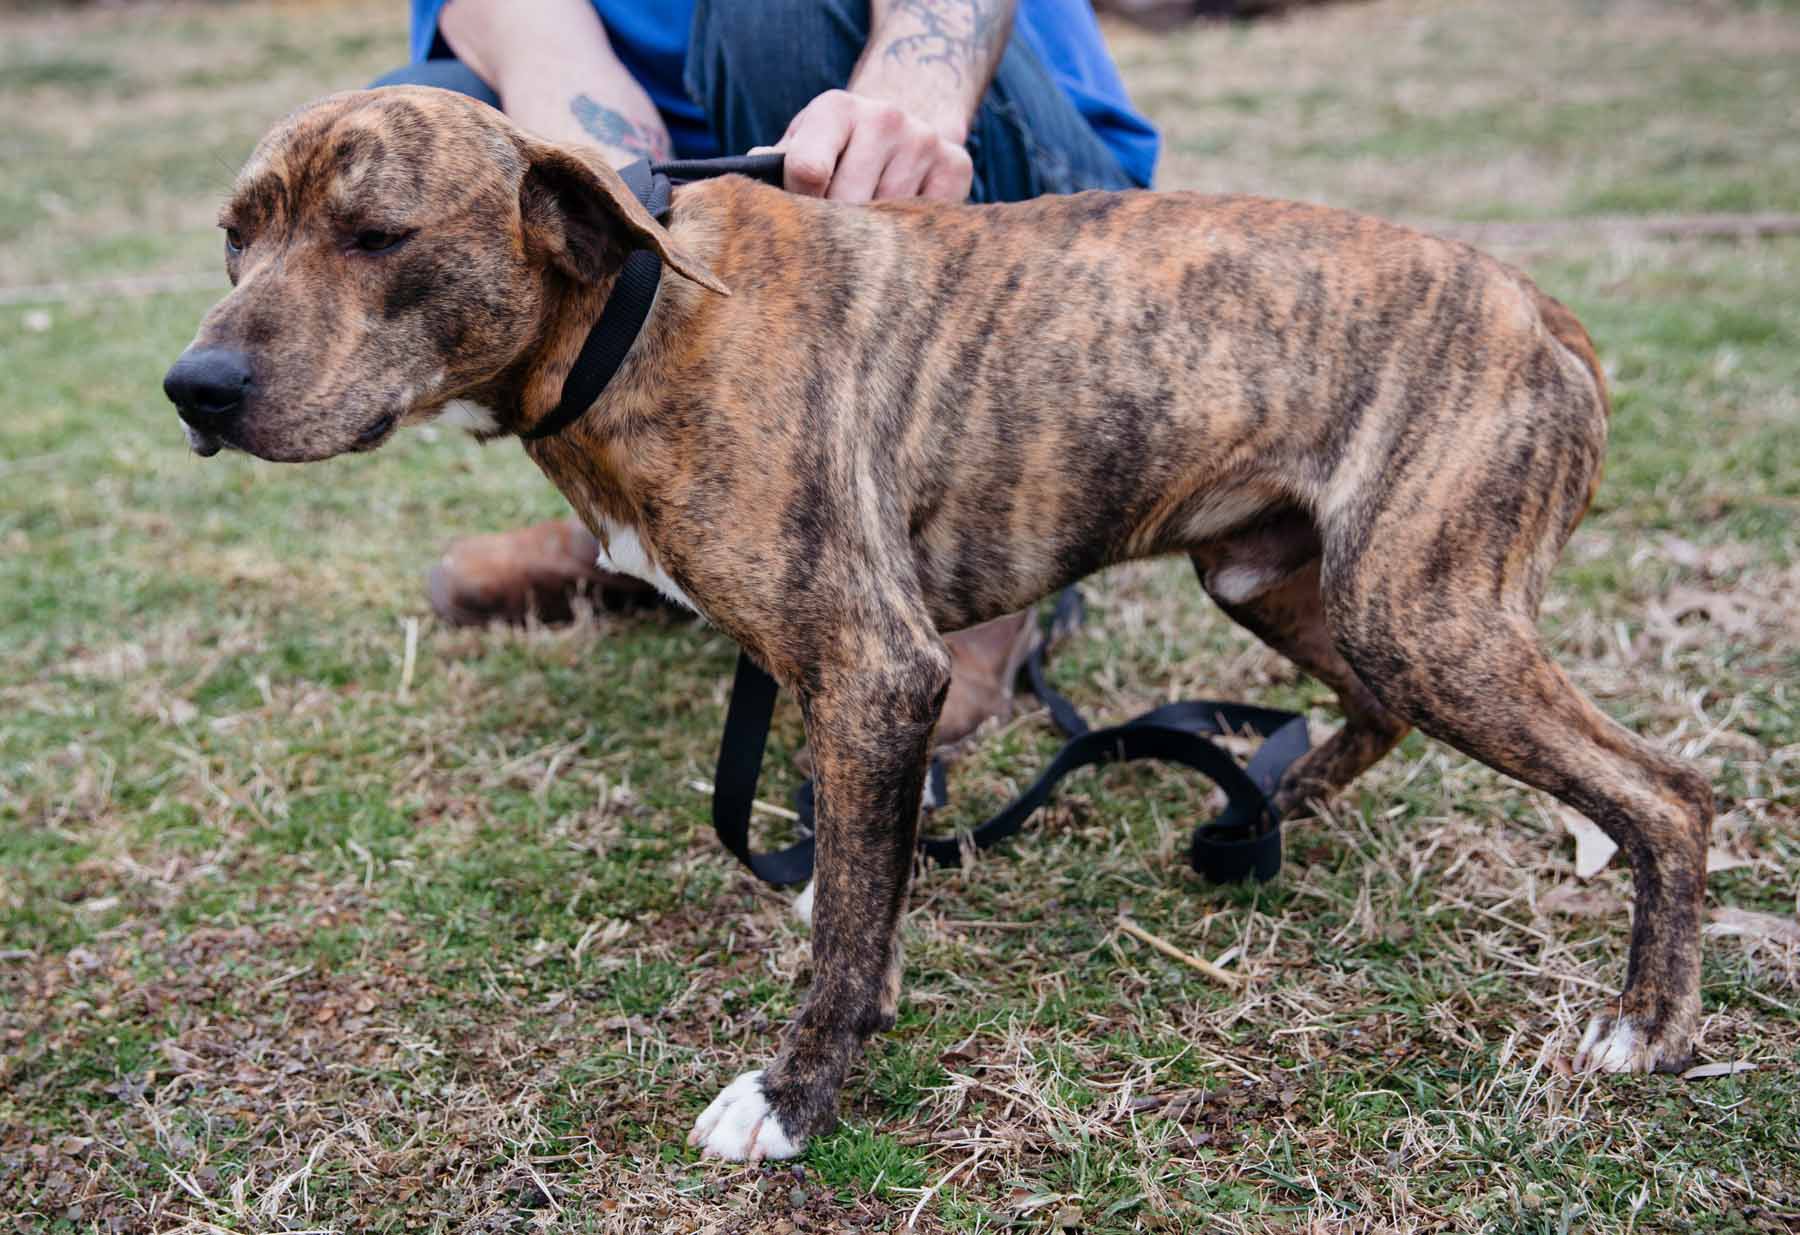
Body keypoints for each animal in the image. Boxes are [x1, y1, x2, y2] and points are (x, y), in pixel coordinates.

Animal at [165, 91, 1713, 1166]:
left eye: (379, 236)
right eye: (235, 234)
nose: (197, 385)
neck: (634, 309)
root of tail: (1537, 303)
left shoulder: (870, 667)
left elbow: (848, 929)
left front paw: (793, 1098)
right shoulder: (839, 683)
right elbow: (864, 879)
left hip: (1422, 611)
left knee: (1668, 791)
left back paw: (1645, 1021)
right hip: (1282, 579)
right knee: (1384, 714)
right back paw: (1273, 806)